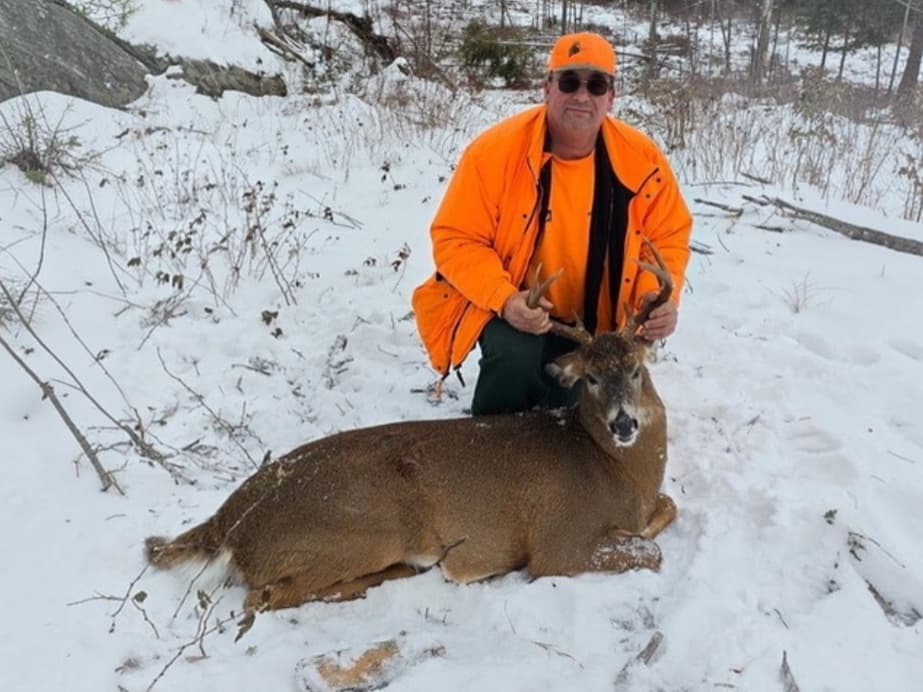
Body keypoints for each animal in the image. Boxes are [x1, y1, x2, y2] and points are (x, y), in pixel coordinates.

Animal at [146, 239, 678, 613]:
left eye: (635, 369)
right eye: (591, 377)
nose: (624, 423)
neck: (616, 471)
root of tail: (231, 521)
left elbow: (668, 508)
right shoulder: (558, 543)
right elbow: (650, 550)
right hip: (361, 530)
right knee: (267, 596)